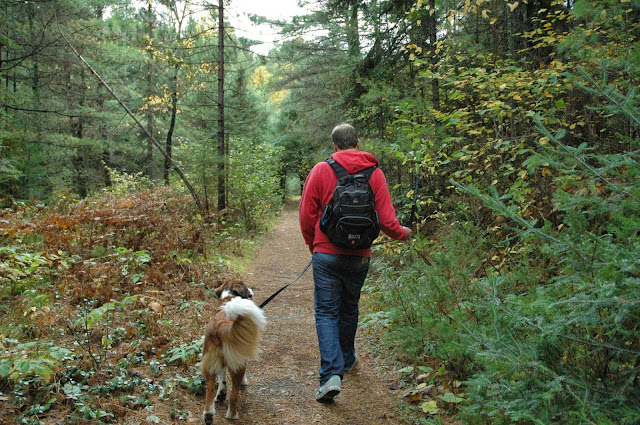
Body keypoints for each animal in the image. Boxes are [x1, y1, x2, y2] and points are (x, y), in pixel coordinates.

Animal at [200, 280, 264, 422]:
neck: (229, 295)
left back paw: (209, 414)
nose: (252, 290)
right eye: (246, 286)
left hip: (210, 362)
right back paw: (232, 415)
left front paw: (221, 393)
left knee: (210, 390)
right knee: (234, 395)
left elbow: (222, 378)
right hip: (237, 364)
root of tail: (221, 325)